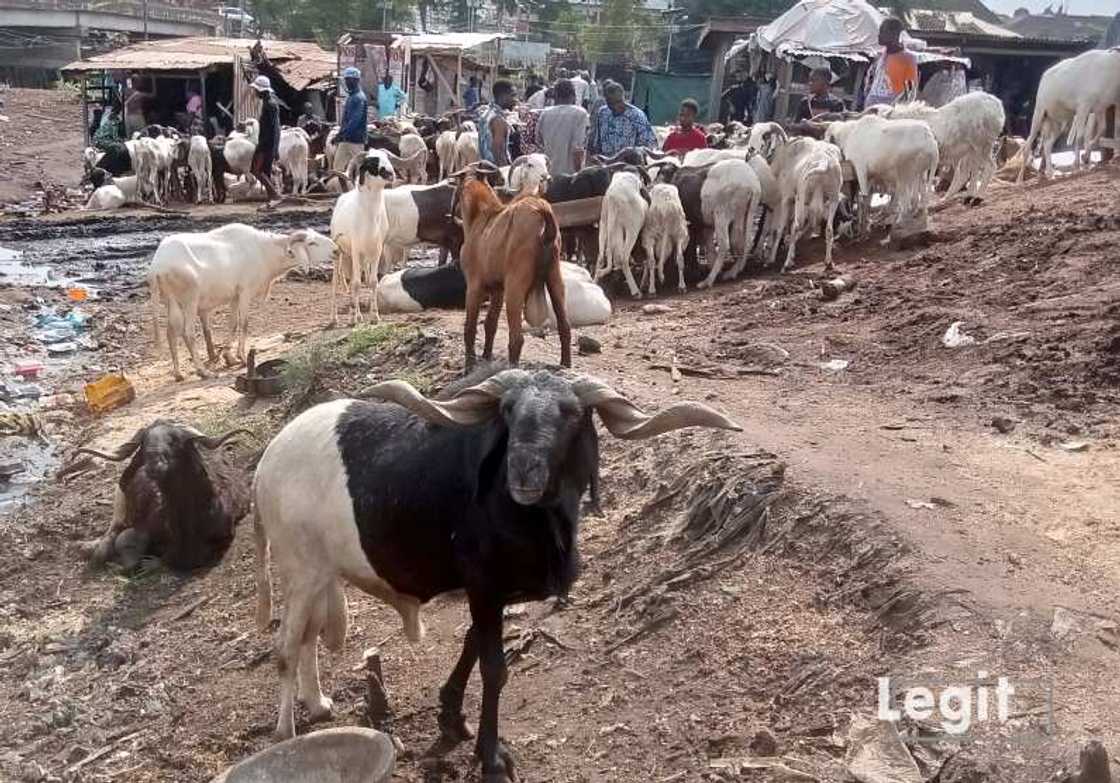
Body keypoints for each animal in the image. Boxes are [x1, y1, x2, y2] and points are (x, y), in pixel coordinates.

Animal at [147, 221, 336, 380]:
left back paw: (178, 374)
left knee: (171, 333)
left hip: (172, 302)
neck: (263, 250)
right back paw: (204, 371)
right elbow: (244, 323)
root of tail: (157, 265)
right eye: (312, 243)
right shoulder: (246, 292)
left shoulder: (235, 296)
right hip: (190, 302)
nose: (335, 250)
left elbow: (233, 323)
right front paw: (242, 358)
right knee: (188, 333)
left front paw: (229, 357)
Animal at [452, 166, 573, 369]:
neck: (482, 215)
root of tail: (543, 217)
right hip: (555, 280)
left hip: (515, 286)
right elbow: (490, 324)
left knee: (517, 338)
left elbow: (470, 326)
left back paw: (512, 367)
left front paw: (470, 364)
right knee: (565, 327)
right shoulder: (497, 290)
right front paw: (486, 356)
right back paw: (565, 364)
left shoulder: (474, 287)